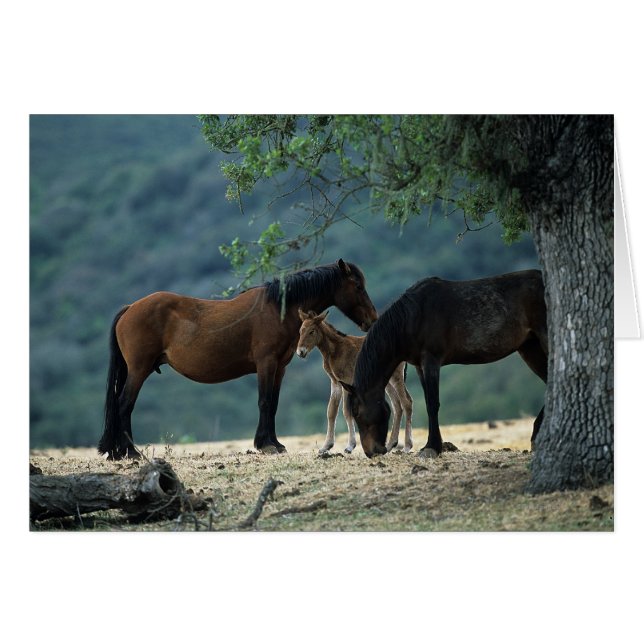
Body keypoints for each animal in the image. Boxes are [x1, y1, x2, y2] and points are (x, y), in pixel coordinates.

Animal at [98, 259, 378, 459]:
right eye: (358, 286)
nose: (372, 320)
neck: (278, 308)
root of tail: (130, 308)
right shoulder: (266, 364)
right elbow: (264, 402)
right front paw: (265, 445)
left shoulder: (280, 368)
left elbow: (273, 404)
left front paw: (275, 443)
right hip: (139, 370)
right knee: (124, 404)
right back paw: (131, 452)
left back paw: (118, 452)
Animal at [296, 309, 413, 454]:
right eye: (300, 330)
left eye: (312, 331)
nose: (300, 352)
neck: (334, 350)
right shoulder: (335, 382)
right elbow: (331, 411)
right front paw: (326, 446)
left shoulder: (346, 381)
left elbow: (346, 411)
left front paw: (350, 446)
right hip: (387, 381)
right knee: (397, 405)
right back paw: (391, 444)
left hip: (396, 377)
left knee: (406, 402)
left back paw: (407, 446)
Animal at [340, 270, 547, 458]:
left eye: (356, 412)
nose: (371, 452)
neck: (413, 317)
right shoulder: (419, 366)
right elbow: (427, 401)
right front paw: (432, 445)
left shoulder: (431, 361)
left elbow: (433, 404)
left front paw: (432, 447)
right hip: (530, 348)